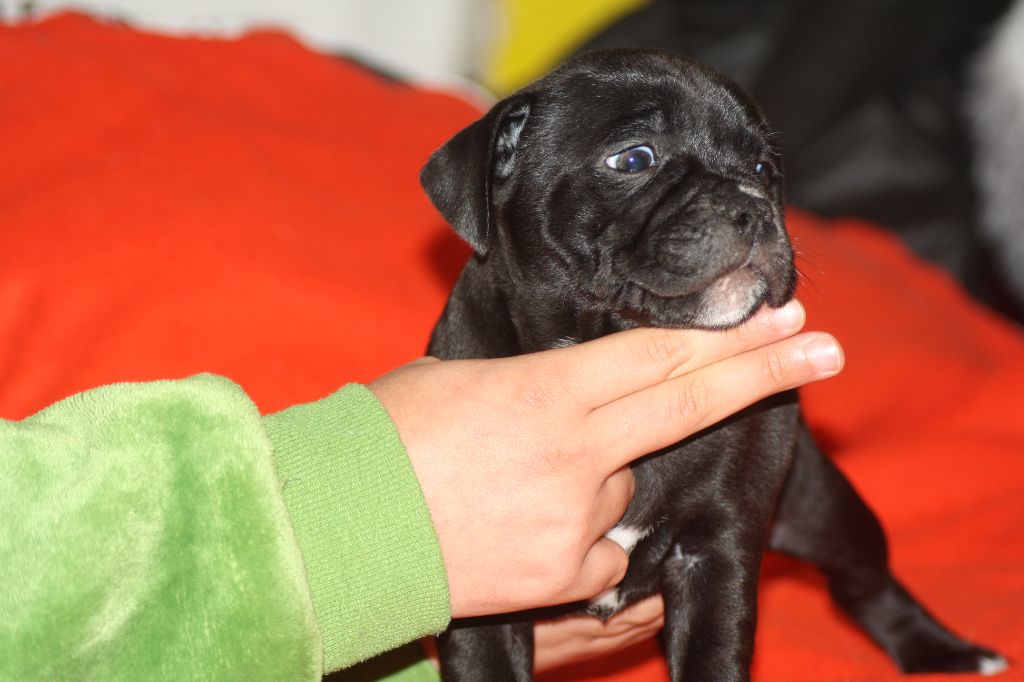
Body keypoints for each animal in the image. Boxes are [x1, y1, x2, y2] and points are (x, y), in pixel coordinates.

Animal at [420, 48, 1007, 681]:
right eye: (634, 158)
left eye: (764, 169)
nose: (751, 203)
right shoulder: (489, 587)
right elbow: (485, 663)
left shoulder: (716, 547)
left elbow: (713, 654)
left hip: (819, 502)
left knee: (864, 579)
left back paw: (946, 651)